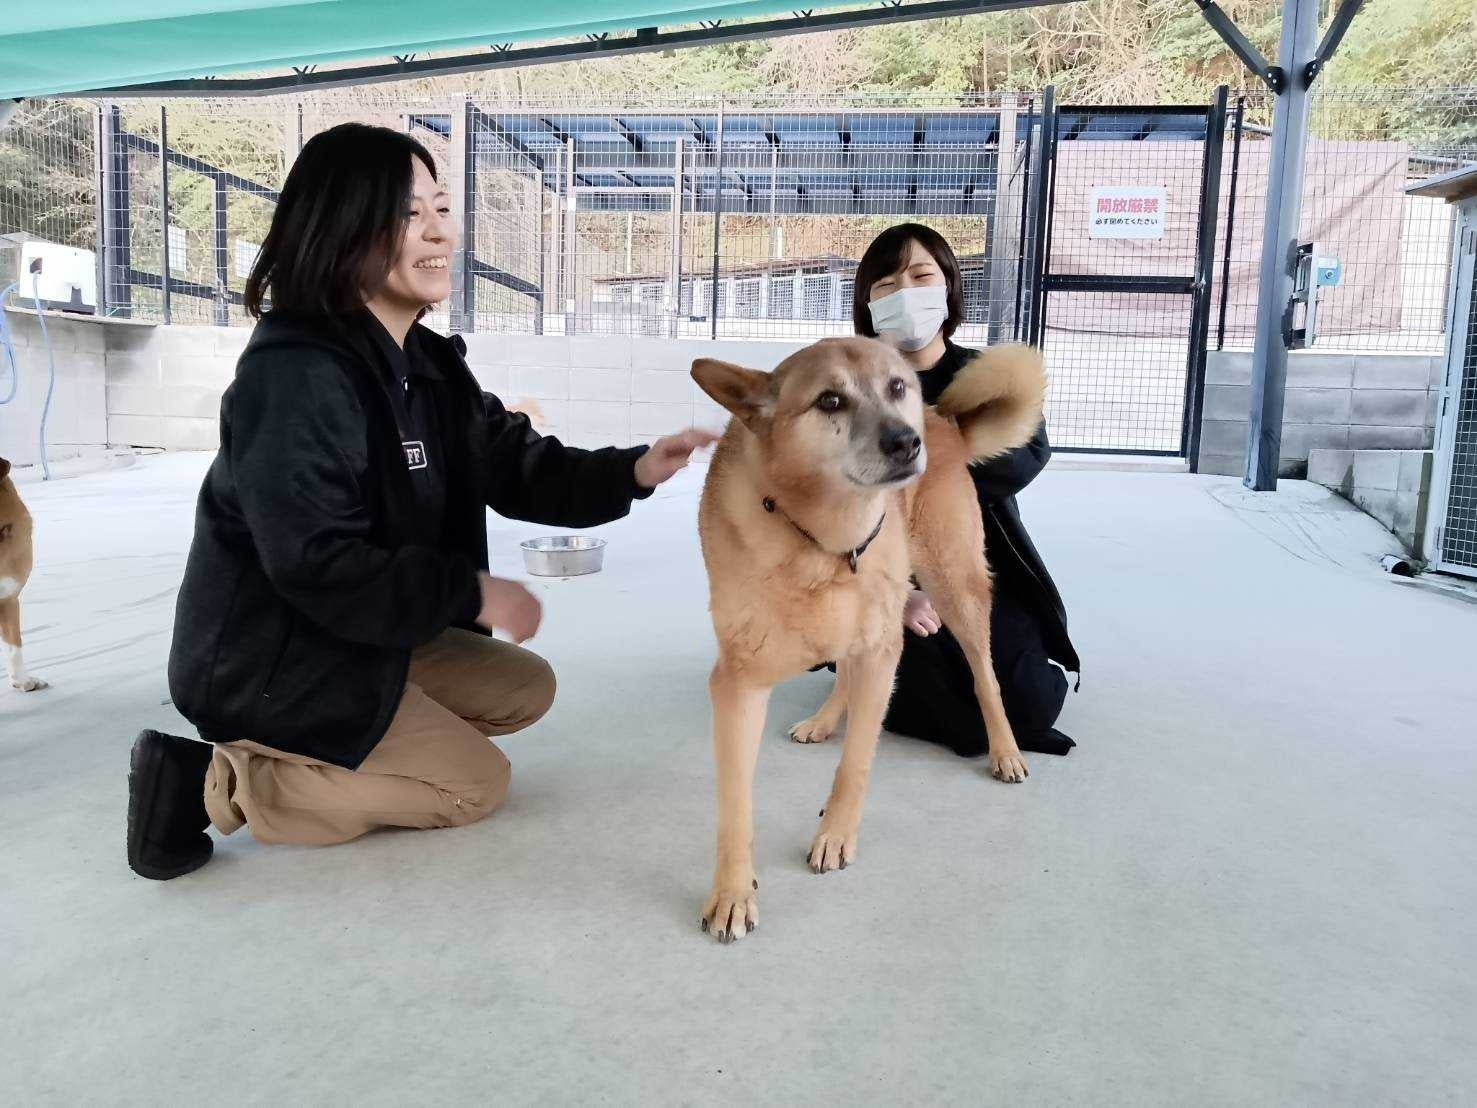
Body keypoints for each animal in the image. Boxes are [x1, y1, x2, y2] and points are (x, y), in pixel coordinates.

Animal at [691, 336, 1045, 942]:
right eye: (829, 400)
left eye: (896, 387)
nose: (906, 442)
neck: (825, 540)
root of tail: (945, 422)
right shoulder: (738, 684)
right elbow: (735, 806)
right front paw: (734, 892)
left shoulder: (884, 653)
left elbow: (855, 764)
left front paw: (835, 834)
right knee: (846, 671)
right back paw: (824, 719)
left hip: (956, 588)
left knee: (985, 676)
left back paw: (1004, 750)